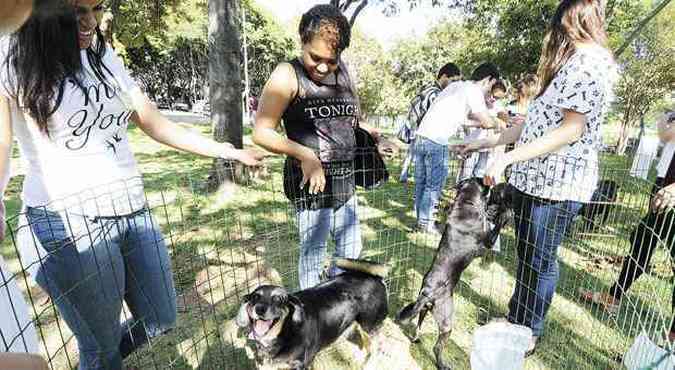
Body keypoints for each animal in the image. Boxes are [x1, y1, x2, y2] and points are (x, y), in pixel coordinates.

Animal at [396, 179, 512, 370]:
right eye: (483, 182)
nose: (492, 184)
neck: (465, 204)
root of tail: (427, 292)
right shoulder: (488, 241)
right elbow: (498, 224)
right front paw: (505, 213)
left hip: (424, 311)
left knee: (418, 326)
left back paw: (416, 339)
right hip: (446, 322)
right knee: (437, 347)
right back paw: (442, 364)